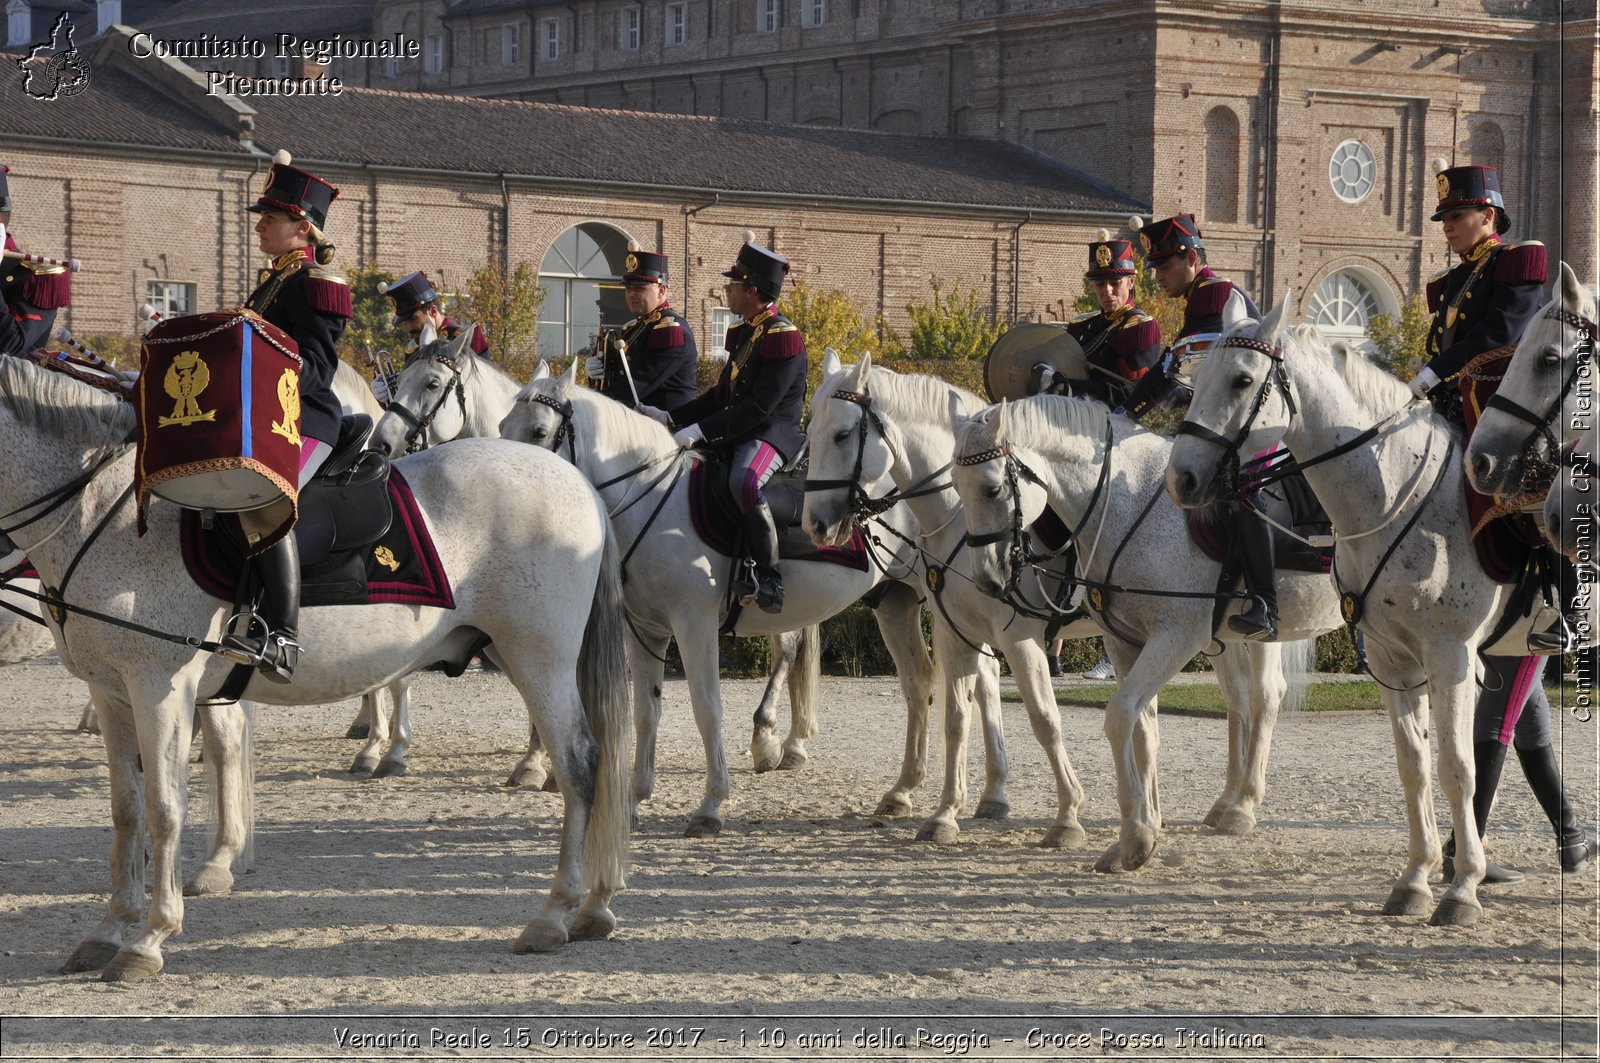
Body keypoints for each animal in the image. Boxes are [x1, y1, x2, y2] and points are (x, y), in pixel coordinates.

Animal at [3, 357, 633, 979]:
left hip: (540, 660)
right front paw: (110, 930)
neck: (106, 515)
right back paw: (594, 908)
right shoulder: (112, 693)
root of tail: (573, 479)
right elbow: (128, 811)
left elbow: (164, 808)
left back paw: (554, 914)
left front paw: (149, 938)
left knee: (581, 765)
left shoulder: (160, 687)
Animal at [499, 365, 953, 838]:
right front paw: (635, 798)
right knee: (918, 684)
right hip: (895, 602)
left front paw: (711, 805)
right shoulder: (645, 630)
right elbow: (646, 711)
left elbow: (707, 710)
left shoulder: (693, 625)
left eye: (539, 431)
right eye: (501, 427)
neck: (649, 498)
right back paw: (902, 791)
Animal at [800, 355, 1100, 845]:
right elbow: (956, 718)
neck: (961, 519)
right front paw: (945, 814)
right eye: (810, 432)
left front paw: (1069, 817)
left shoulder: (1020, 638)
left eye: (843, 434)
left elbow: (1044, 718)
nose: (815, 524)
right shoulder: (955, 631)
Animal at [940, 390, 1331, 870]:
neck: (1129, 505)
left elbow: (1118, 716)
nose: (989, 580)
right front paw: (1144, 827)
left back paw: (1242, 807)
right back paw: (1227, 803)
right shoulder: (1126, 641)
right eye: (954, 486)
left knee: (1266, 695)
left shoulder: (1175, 638)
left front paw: (1132, 836)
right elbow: (1143, 728)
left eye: (993, 488)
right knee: (1242, 700)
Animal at [1164, 296, 1510, 922]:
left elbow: (1455, 766)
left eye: (1242, 380)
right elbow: (1413, 765)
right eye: (1193, 383)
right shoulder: (1392, 658)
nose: (1183, 478)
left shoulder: (1450, 656)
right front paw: (1417, 879)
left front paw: (1461, 887)